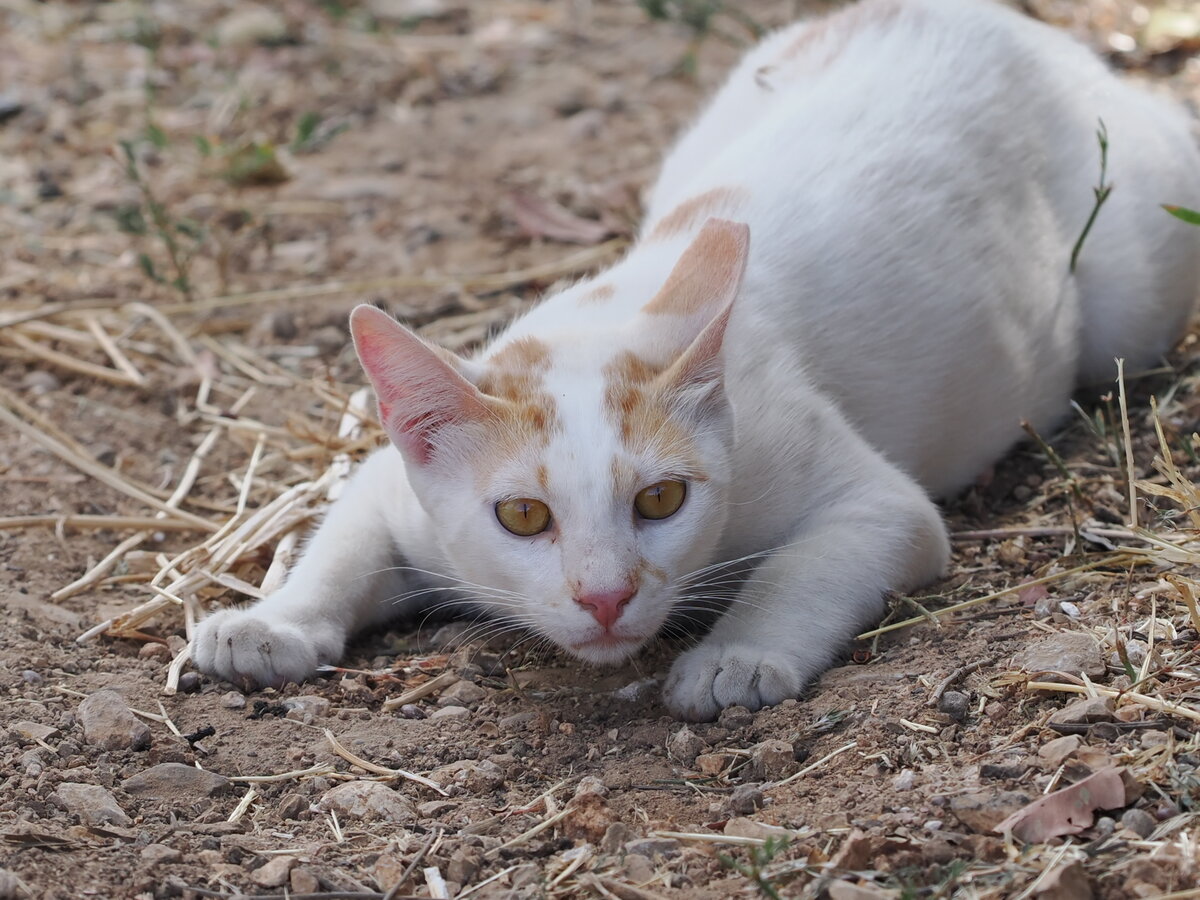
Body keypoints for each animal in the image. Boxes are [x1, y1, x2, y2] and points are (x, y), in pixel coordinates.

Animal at [194, 0, 1200, 724]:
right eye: (521, 515)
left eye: (661, 500)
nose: (605, 597)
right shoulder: (395, 487)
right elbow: (340, 537)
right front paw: (269, 624)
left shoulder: (879, 501)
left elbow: (806, 563)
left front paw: (734, 658)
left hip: (1128, 294)